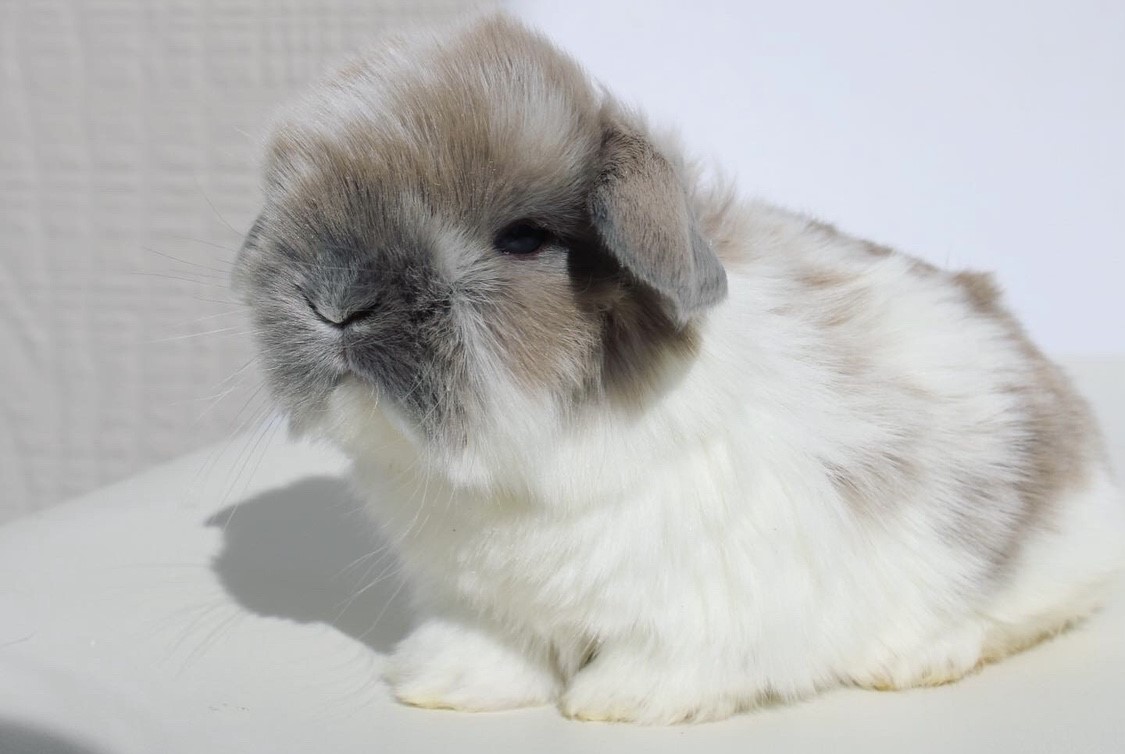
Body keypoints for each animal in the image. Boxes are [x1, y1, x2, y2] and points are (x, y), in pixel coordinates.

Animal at [232, 14, 1125, 724]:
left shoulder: (707, 601)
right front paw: (443, 686)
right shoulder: (483, 601)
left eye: (521, 239)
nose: (334, 300)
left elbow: (672, 658)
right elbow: (496, 650)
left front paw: (618, 703)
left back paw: (913, 660)